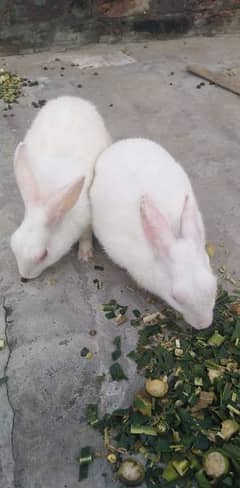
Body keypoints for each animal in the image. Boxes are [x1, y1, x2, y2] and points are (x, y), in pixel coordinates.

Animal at [11, 95, 111, 278]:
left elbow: (86, 236)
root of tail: (71, 99)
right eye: (13, 243)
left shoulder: (87, 219)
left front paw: (84, 255)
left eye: (43, 255)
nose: (25, 277)